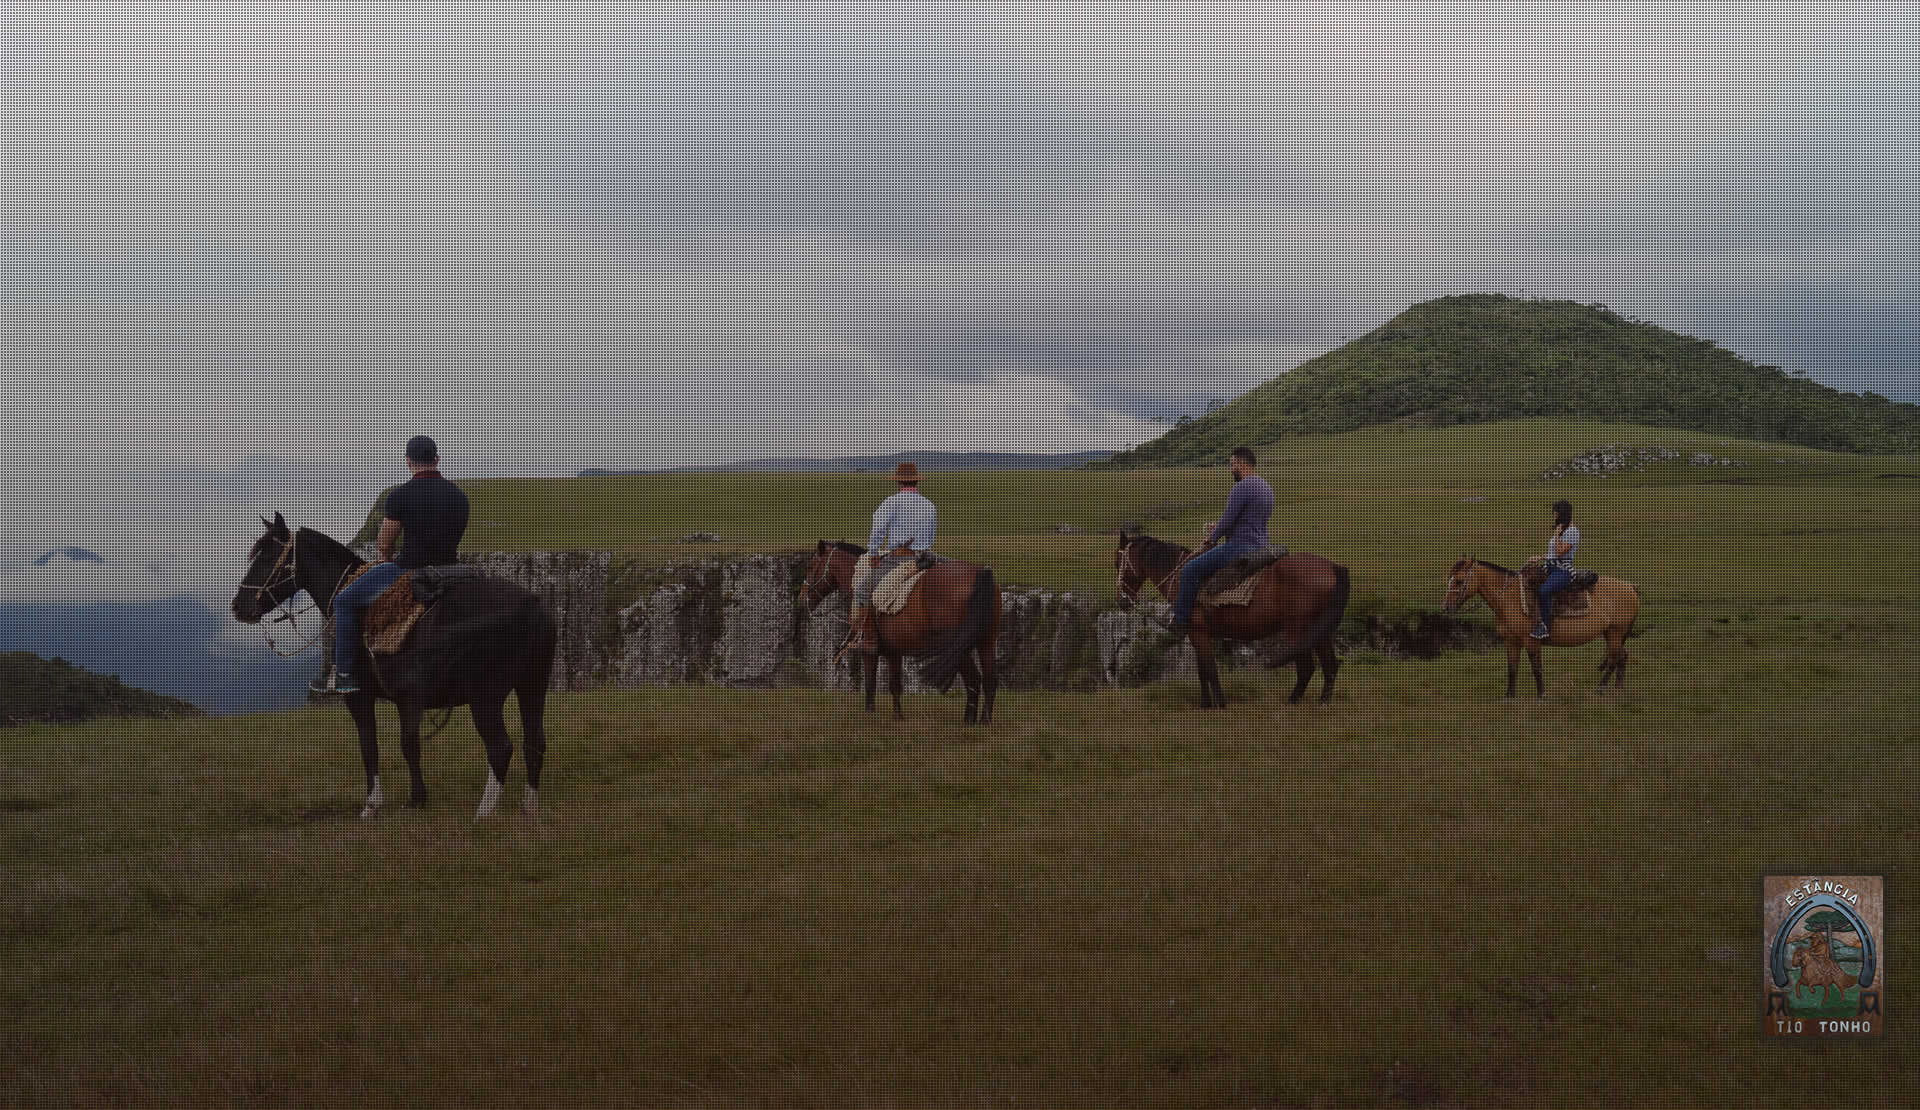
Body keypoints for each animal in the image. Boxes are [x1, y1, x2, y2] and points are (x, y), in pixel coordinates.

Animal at [233, 514, 560, 818]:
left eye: (266, 555)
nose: (238, 605)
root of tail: (531, 604)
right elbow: (389, 746)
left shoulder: (375, 697)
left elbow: (385, 746)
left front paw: (391, 803)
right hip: (533, 685)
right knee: (535, 742)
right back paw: (529, 808)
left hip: (485, 696)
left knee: (500, 747)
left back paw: (483, 812)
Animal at [798, 537, 1006, 725]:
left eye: (810, 567)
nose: (801, 598)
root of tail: (981, 573)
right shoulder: (894, 652)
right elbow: (895, 685)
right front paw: (898, 716)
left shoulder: (868, 650)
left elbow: (870, 683)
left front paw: (869, 714)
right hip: (986, 642)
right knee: (990, 679)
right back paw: (984, 721)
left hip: (958, 647)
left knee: (973, 678)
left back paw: (970, 721)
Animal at [1113, 530, 1351, 702]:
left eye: (1117, 562)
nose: (1121, 601)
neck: (1180, 578)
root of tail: (1333, 567)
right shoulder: (1197, 635)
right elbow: (1202, 671)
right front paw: (1205, 705)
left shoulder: (1198, 632)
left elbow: (1210, 670)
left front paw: (1220, 704)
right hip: (1319, 631)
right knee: (1330, 665)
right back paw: (1323, 702)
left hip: (1296, 631)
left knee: (1306, 668)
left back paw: (1291, 702)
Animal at [1443, 556, 1635, 695]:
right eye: (1449, 578)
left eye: (1459, 581)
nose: (1446, 607)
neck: (1510, 598)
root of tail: (1631, 587)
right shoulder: (1511, 642)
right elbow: (1512, 669)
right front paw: (1509, 698)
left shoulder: (1531, 641)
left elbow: (1537, 670)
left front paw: (1541, 697)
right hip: (1610, 633)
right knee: (1622, 655)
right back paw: (1618, 689)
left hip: (1616, 631)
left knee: (1613, 658)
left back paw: (1601, 689)